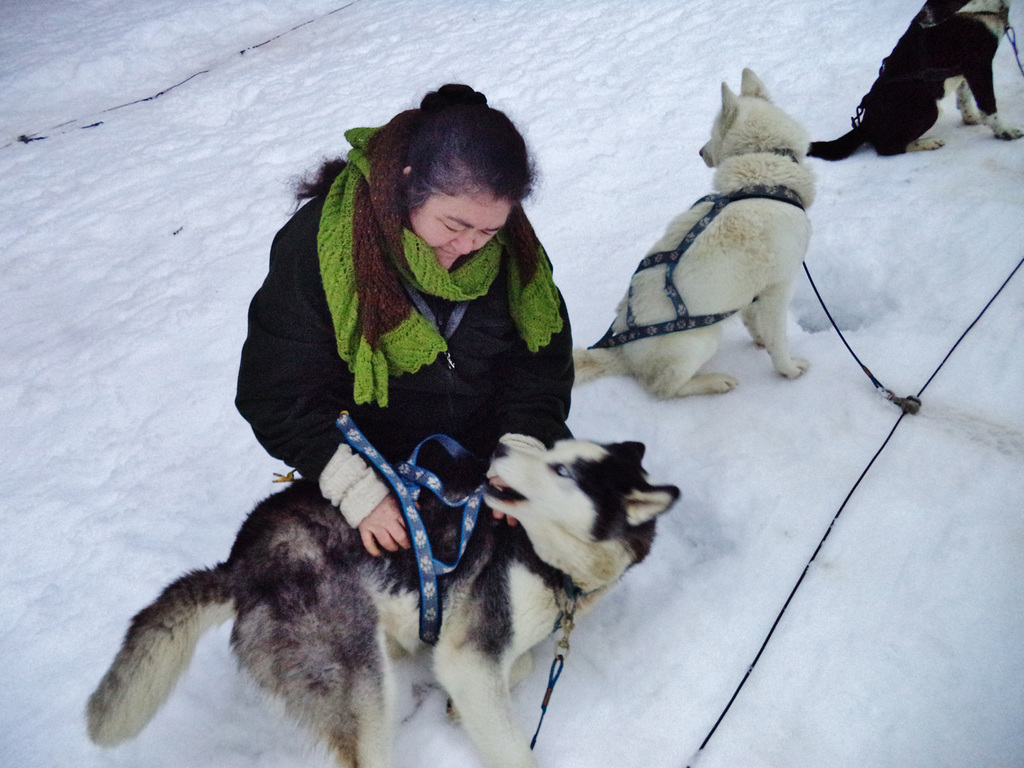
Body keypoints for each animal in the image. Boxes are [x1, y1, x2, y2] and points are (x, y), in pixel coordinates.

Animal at [577, 69, 815, 399]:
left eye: (711, 133)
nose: (700, 151)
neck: (763, 178)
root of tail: (621, 352)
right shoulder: (777, 290)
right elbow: (779, 341)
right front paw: (788, 370)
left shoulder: (753, 294)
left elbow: (757, 326)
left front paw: (760, 342)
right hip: (703, 338)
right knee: (662, 387)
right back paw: (714, 381)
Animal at [811, 0, 1019, 159]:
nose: (920, 19)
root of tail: (865, 126)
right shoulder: (979, 66)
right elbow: (989, 107)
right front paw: (1004, 132)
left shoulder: (966, 71)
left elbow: (965, 97)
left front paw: (971, 119)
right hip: (928, 110)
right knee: (888, 148)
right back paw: (927, 143)